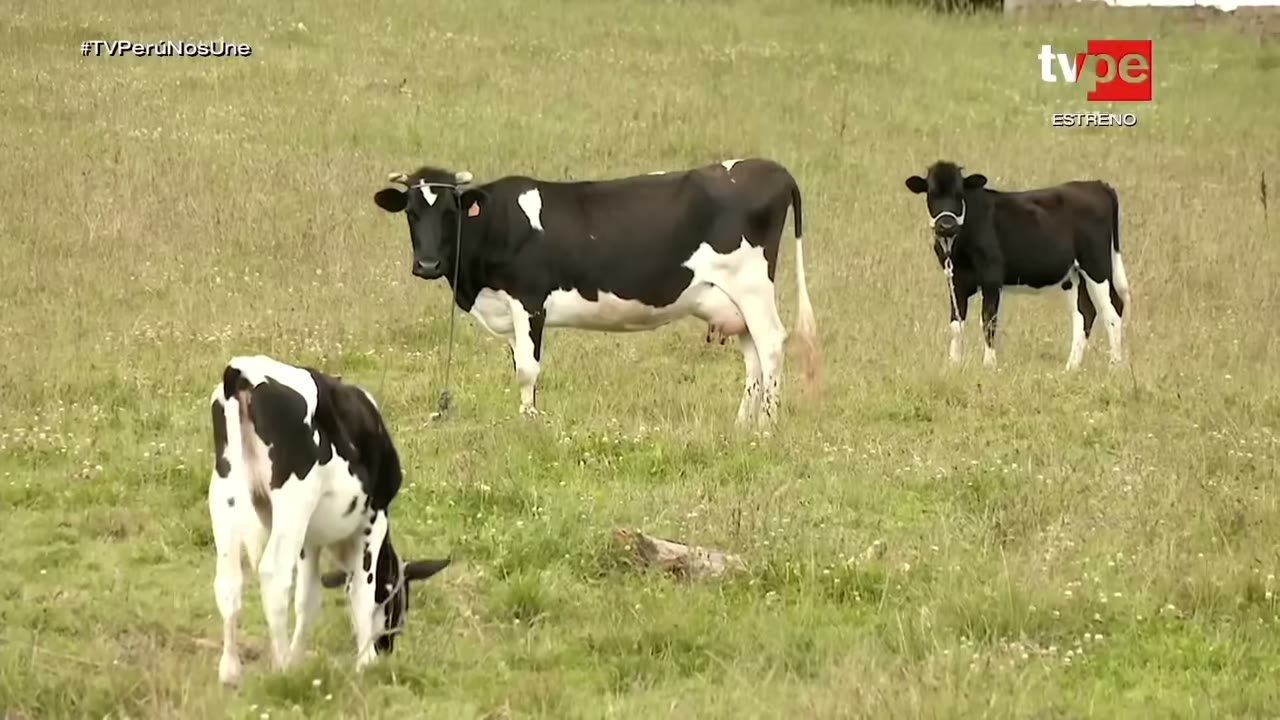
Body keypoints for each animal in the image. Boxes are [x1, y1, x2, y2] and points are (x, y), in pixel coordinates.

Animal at [207, 355, 450, 687]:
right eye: (399, 600)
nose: (386, 647)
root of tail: (245, 371)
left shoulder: (310, 541)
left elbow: (308, 599)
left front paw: (299, 658)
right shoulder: (373, 520)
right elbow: (362, 590)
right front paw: (364, 662)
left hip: (225, 493)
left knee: (228, 582)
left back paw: (230, 671)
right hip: (293, 501)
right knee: (274, 575)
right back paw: (281, 668)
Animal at [371, 157, 819, 429]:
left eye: (450, 213)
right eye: (411, 212)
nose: (428, 265)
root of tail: (773, 169)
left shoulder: (529, 300)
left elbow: (527, 369)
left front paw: (528, 423)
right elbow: (519, 365)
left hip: (753, 286)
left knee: (771, 345)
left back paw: (768, 427)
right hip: (732, 302)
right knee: (753, 358)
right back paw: (744, 426)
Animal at [903, 160, 1131, 370]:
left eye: (960, 193)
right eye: (931, 193)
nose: (946, 225)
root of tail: (1096, 185)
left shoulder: (992, 277)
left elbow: (988, 320)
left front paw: (989, 365)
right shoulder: (954, 279)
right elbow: (956, 324)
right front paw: (954, 364)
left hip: (1097, 265)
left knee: (1112, 310)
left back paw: (1115, 366)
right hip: (1073, 274)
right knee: (1084, 313)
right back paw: (1070, 368)